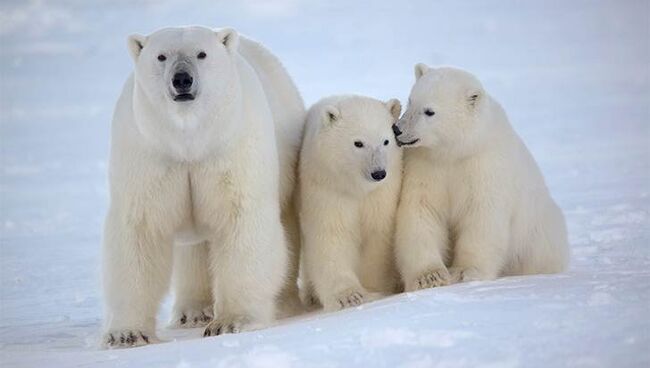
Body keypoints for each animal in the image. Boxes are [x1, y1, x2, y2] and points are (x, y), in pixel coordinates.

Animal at [101, 26, 304, 348]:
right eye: (161, 56)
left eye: (201, 53)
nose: (182, 79)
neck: (190, 141)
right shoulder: (147, 152)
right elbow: (139, 230)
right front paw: (126, 334)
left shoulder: (232, 146)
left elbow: (242, 219)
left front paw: (232, 322)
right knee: (193, 250)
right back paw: (193, 312)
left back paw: (283, 302)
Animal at [300, 95, 402, 310]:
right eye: (358, 143)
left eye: (386, 141)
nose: (378, 173)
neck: (356, 187)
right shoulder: (327, 187)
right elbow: (331, 234)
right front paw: (349, 297)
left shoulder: (381, 194)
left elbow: (377, 233)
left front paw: (374, 288)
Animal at [390, 64, 568, 292]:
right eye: (411, 101)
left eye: (429, 111)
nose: (397, 129)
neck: (456, 152)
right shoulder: (426, 166)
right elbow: (421, 210)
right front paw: (430, 277)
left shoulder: (484, 166)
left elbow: (481, 216)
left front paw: (465, 272)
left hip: (538, 233)